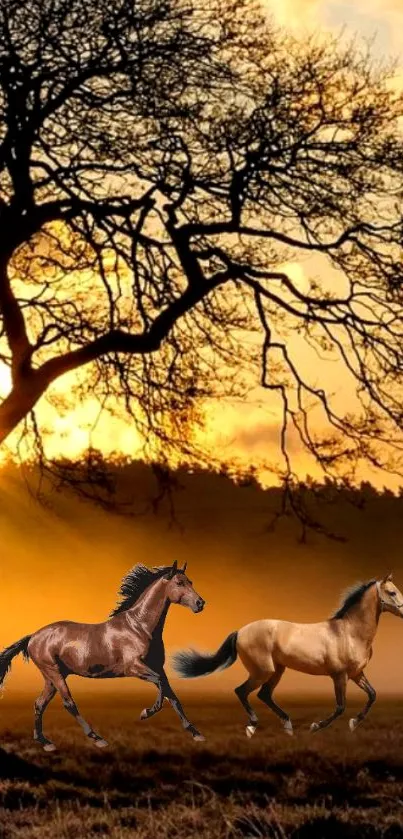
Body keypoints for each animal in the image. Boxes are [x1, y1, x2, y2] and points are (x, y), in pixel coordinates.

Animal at [0, 560, 207, 752]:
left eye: (190, 581)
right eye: (179, 583)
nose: (200, 603)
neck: (140, 627)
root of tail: (33, 637)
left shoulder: (158, 667)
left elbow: (172, 696)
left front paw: (196, 733)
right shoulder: (134, 667)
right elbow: (161, 686)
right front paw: (145, 713)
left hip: (51, 678)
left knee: (39, 704)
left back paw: (45, 742)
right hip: (54, 673)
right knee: (68, 703)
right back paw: (97, 738)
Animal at [174, 576, 403, 740]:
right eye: (392, 592)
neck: (350, 633)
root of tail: (240, 631)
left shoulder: (356, 674)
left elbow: (372, 695)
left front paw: (354, 723)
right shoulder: (339, 675)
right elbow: (340, 706)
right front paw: (315, 727)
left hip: (277, 670)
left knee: (264, 694)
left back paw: (287, 726)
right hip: (263, 671)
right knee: (242, 691)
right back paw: (252, 727)